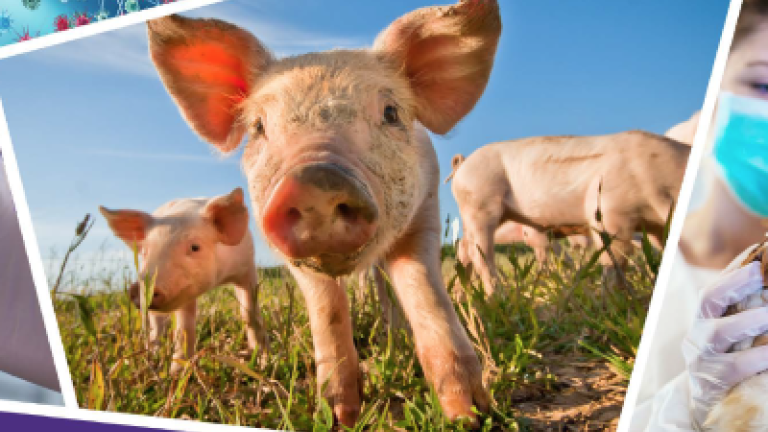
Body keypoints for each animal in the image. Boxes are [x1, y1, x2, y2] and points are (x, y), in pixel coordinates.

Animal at [99, 188, 268, 372]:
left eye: (195, 247)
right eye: (144, 252)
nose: (138, 288)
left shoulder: (247, 267)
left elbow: (250, 313)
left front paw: (262, 361)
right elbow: (185, 327)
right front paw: (176, 373)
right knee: (156, 325)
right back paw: (153, 354)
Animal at [146, 0, 502, 426]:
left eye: (391, 112)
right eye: (259, 126)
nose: (314, 179)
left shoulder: (426, 211)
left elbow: (424, 289)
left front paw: (469, 414)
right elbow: (327, 308)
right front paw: (340, 415)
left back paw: (395, 334)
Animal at [449, 131, 689, 296]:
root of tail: (463, 165)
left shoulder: (656, 227)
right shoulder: (607, 211)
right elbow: (614, 258)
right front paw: (613, 300)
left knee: (466, 251)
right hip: (479, 205)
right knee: (480, 254)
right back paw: (497, 297)